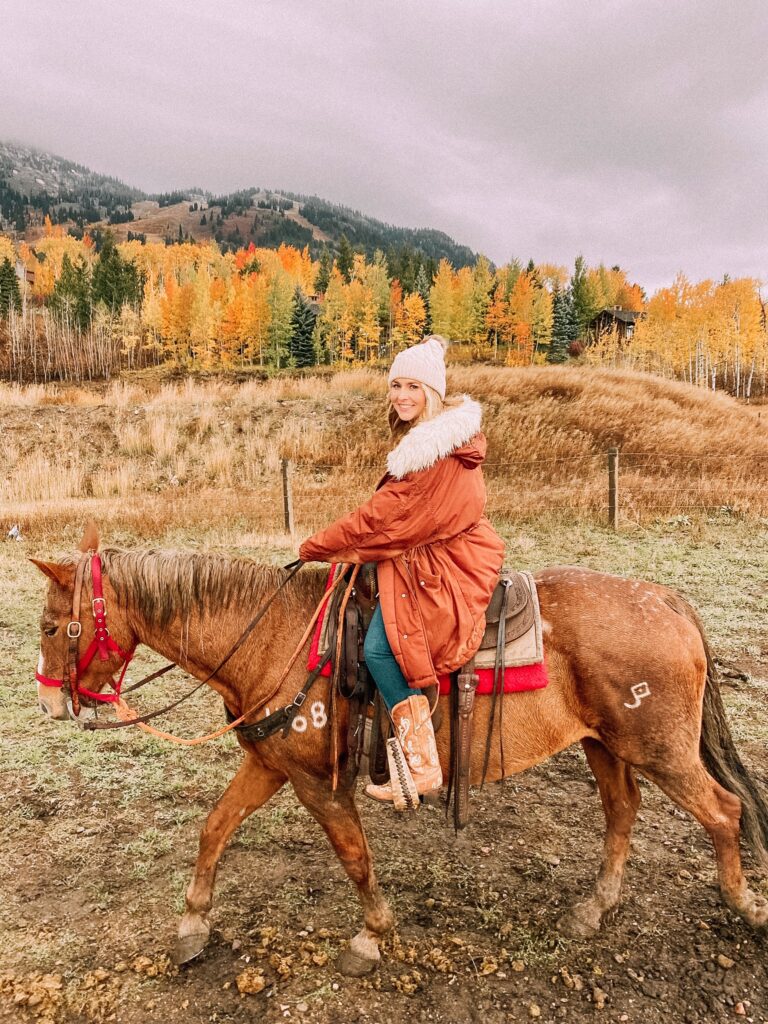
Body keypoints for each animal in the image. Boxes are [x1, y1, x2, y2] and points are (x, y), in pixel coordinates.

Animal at [31, 528, 768, 974]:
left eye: (52, 626)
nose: (47, 704)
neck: (275, 637)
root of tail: (669, 601)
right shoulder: (270, 764)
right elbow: (214, 828)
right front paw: (191, 926)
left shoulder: (319, 783)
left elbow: (354, 856)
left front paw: (373, 934)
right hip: (604, 745)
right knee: (623, 811)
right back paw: (595, 908)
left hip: (659, 746)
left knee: (724, 812)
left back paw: (744, 904)